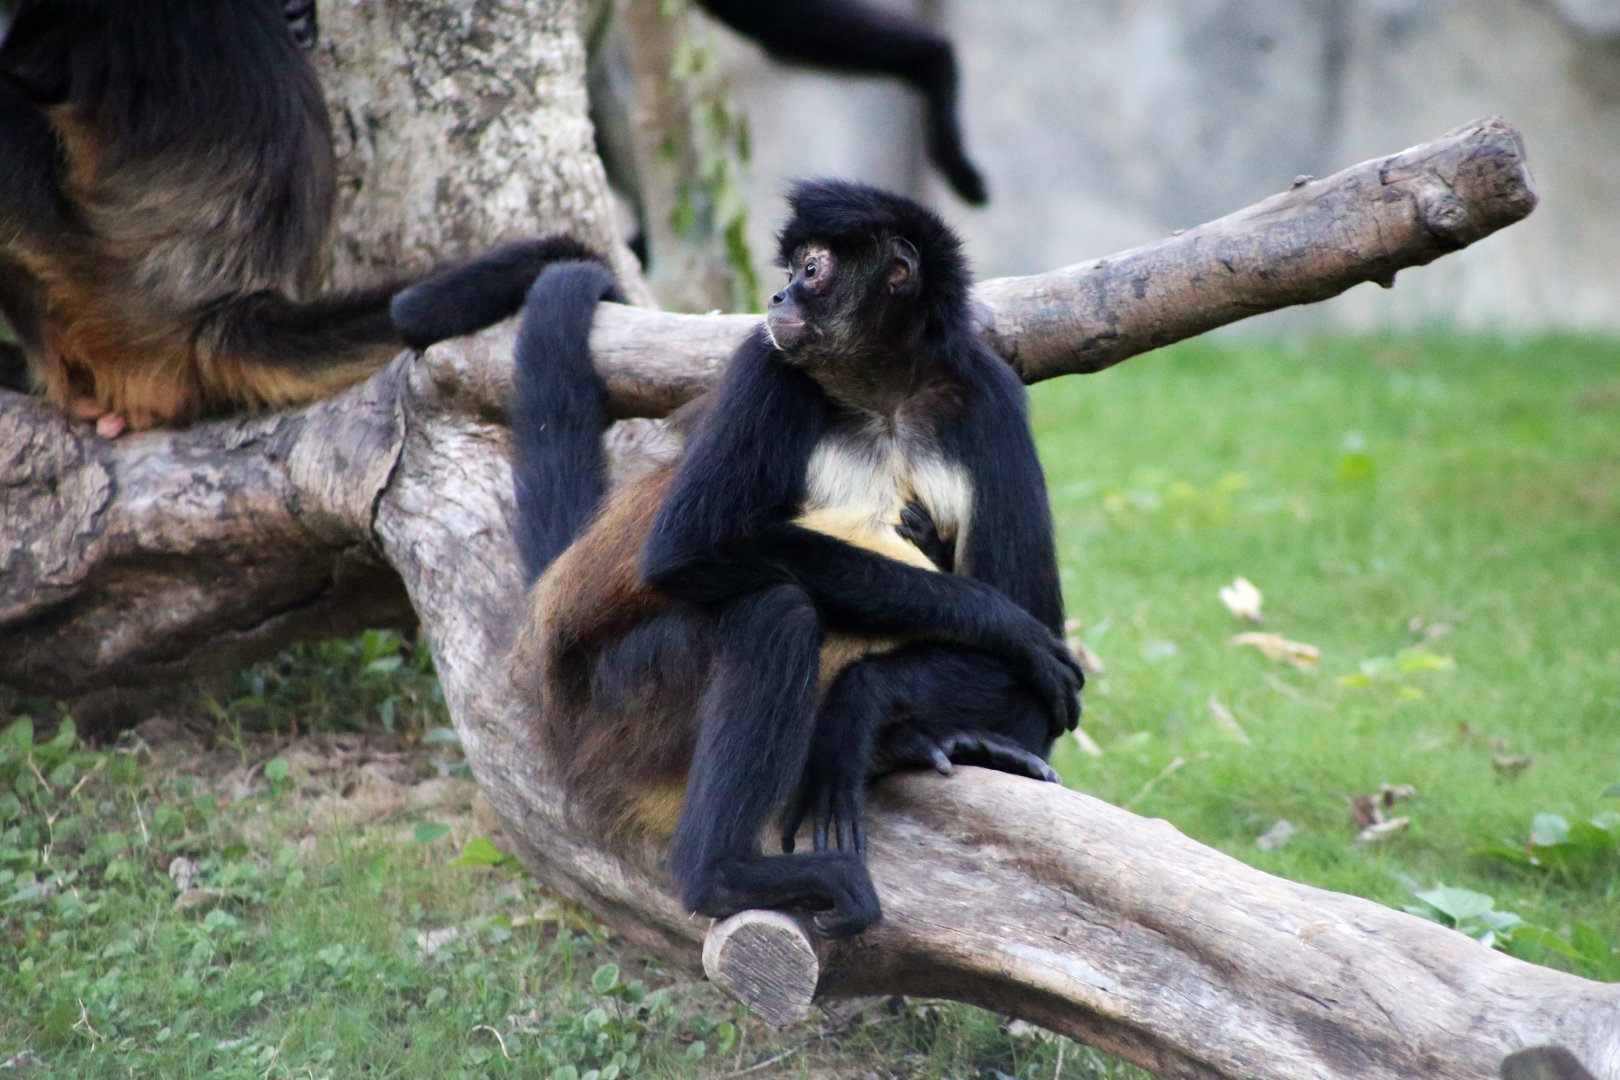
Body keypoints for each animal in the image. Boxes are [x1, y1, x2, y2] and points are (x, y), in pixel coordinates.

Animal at [481, 180, 1079, 937]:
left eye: (812, 271)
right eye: (791, 269)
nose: (777, 297)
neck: (881, 396)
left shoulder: (988, 391)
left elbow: (1037, 630)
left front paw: (862, 704)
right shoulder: (763, 365)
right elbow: (686, 549)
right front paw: (997, 623)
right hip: (623, 702)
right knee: (776, 607)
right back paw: (722, 876)